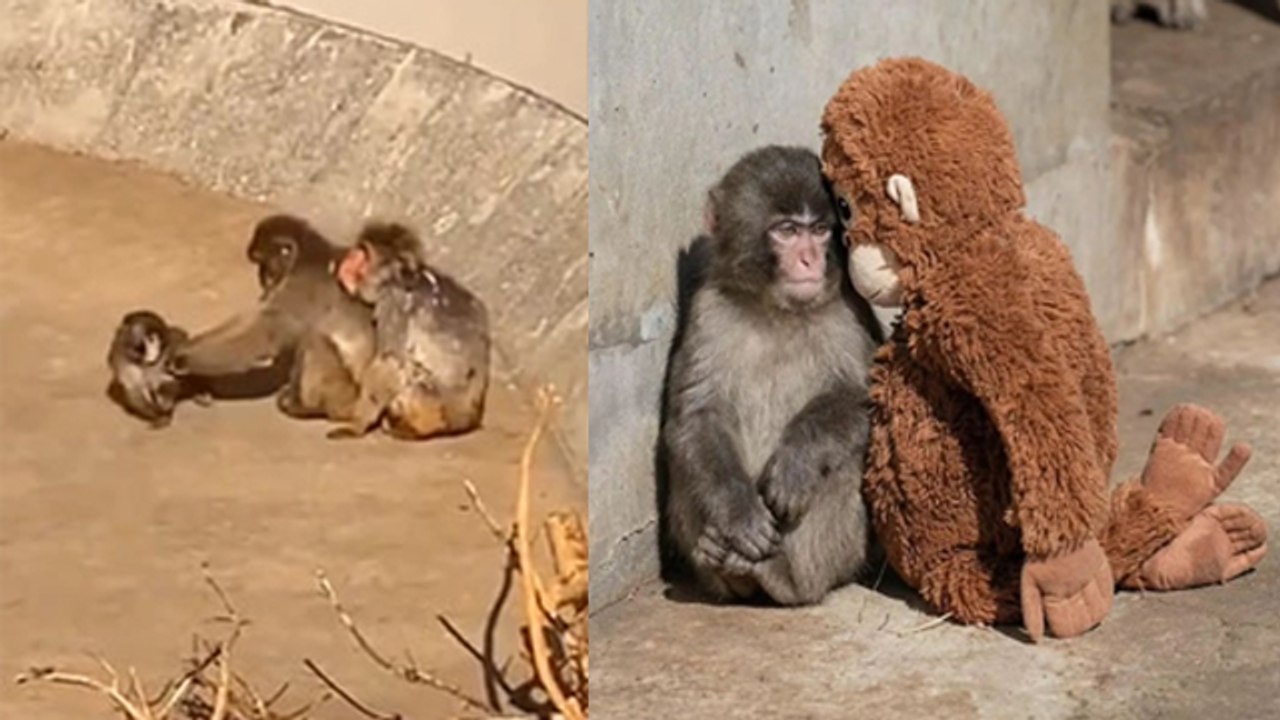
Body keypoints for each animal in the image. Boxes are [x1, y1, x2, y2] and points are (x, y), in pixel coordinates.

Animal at [169, 214, 376, 423]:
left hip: (345, 396)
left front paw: (182, 359)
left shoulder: (300, 286)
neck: (312, 256)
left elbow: (263, 335)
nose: (264, 281)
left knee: (314, 338)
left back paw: (302, 407)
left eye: (266, 266)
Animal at [326, 221, 491, 441]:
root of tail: (470, 421)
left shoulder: (395, 304)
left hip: (430, 407)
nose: (349, 259)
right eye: (358, 252)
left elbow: (391, 362)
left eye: (363, 255)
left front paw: (357, 425)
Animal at [662, 145, 882, 607]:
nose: (809, 259)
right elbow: (695, 416)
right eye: (786, 230)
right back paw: (718, 560)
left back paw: (782, 578)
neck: (777, 310)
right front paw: (738, 513)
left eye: (819, 230)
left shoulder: (848, 312)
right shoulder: (709, 312)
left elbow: (869, 399)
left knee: (845, 462)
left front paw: (796, 462)